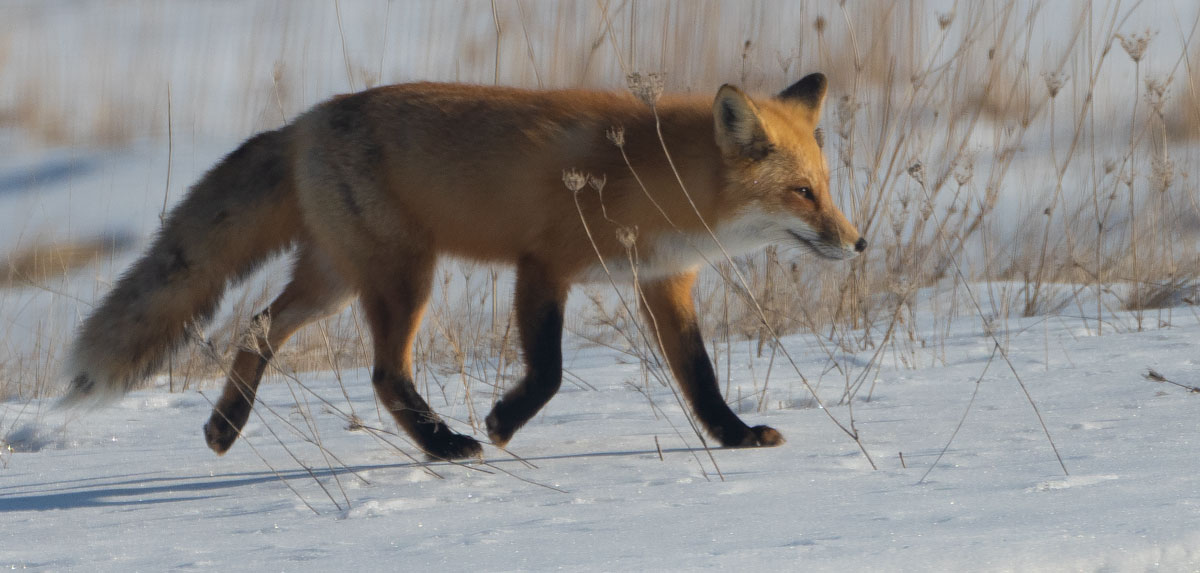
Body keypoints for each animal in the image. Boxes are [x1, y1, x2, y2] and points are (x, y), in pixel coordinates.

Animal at [62, 73, 864, 460]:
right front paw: (504, 422)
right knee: (384, 374)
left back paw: (224, 430)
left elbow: (700, 377)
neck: (651, 175)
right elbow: (550, 371)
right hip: (402, 275)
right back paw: (445, 444)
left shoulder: (664, 281)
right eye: (802, 193)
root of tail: (303, 124)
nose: (858, 244)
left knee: (258, 326)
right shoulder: (543, 264)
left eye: (827, 187)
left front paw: (735, 437)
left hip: (335, 280)